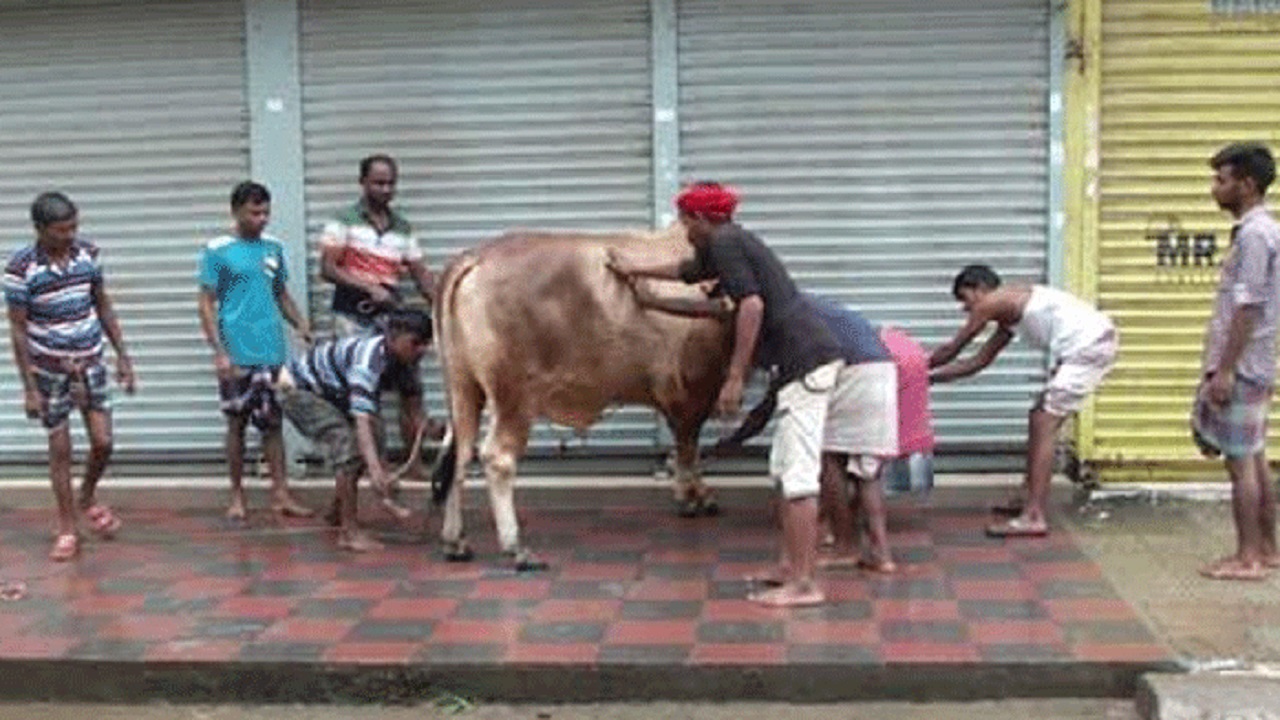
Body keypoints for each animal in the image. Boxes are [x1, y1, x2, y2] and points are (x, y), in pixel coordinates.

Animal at [430, 222, 732, 566]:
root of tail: (476, 255)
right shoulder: (695, 391)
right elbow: (689, 448)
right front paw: (694, 497)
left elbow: (687, 446)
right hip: (514, 396)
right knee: (497, 457)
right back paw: (515, 546)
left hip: (463, 388)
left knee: (460, 457)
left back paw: (455, 541)